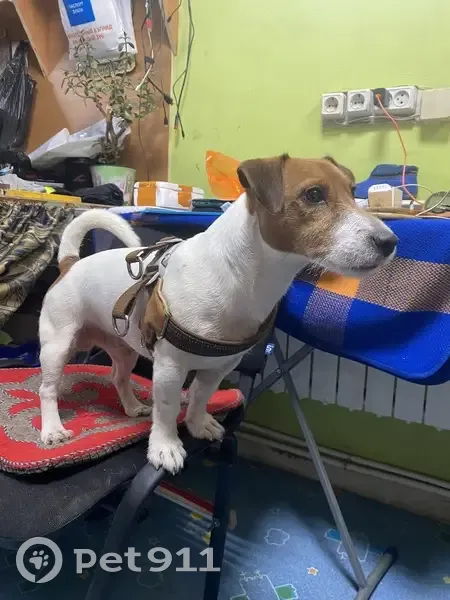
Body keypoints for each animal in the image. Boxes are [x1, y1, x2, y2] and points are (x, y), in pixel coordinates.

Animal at [38, 155, 397, 474]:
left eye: (352, 191)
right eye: (313, 194)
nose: (390, 241)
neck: (244, 281)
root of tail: (70, 264)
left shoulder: (220, 367)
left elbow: (199, 397)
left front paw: (197, 425)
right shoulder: (170, 368)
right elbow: (167, 411)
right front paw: (165, 447)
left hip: (125, 348)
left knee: (119, 376)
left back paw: (131, 406)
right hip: (57, 346)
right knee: (48, 389)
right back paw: (53, 429)